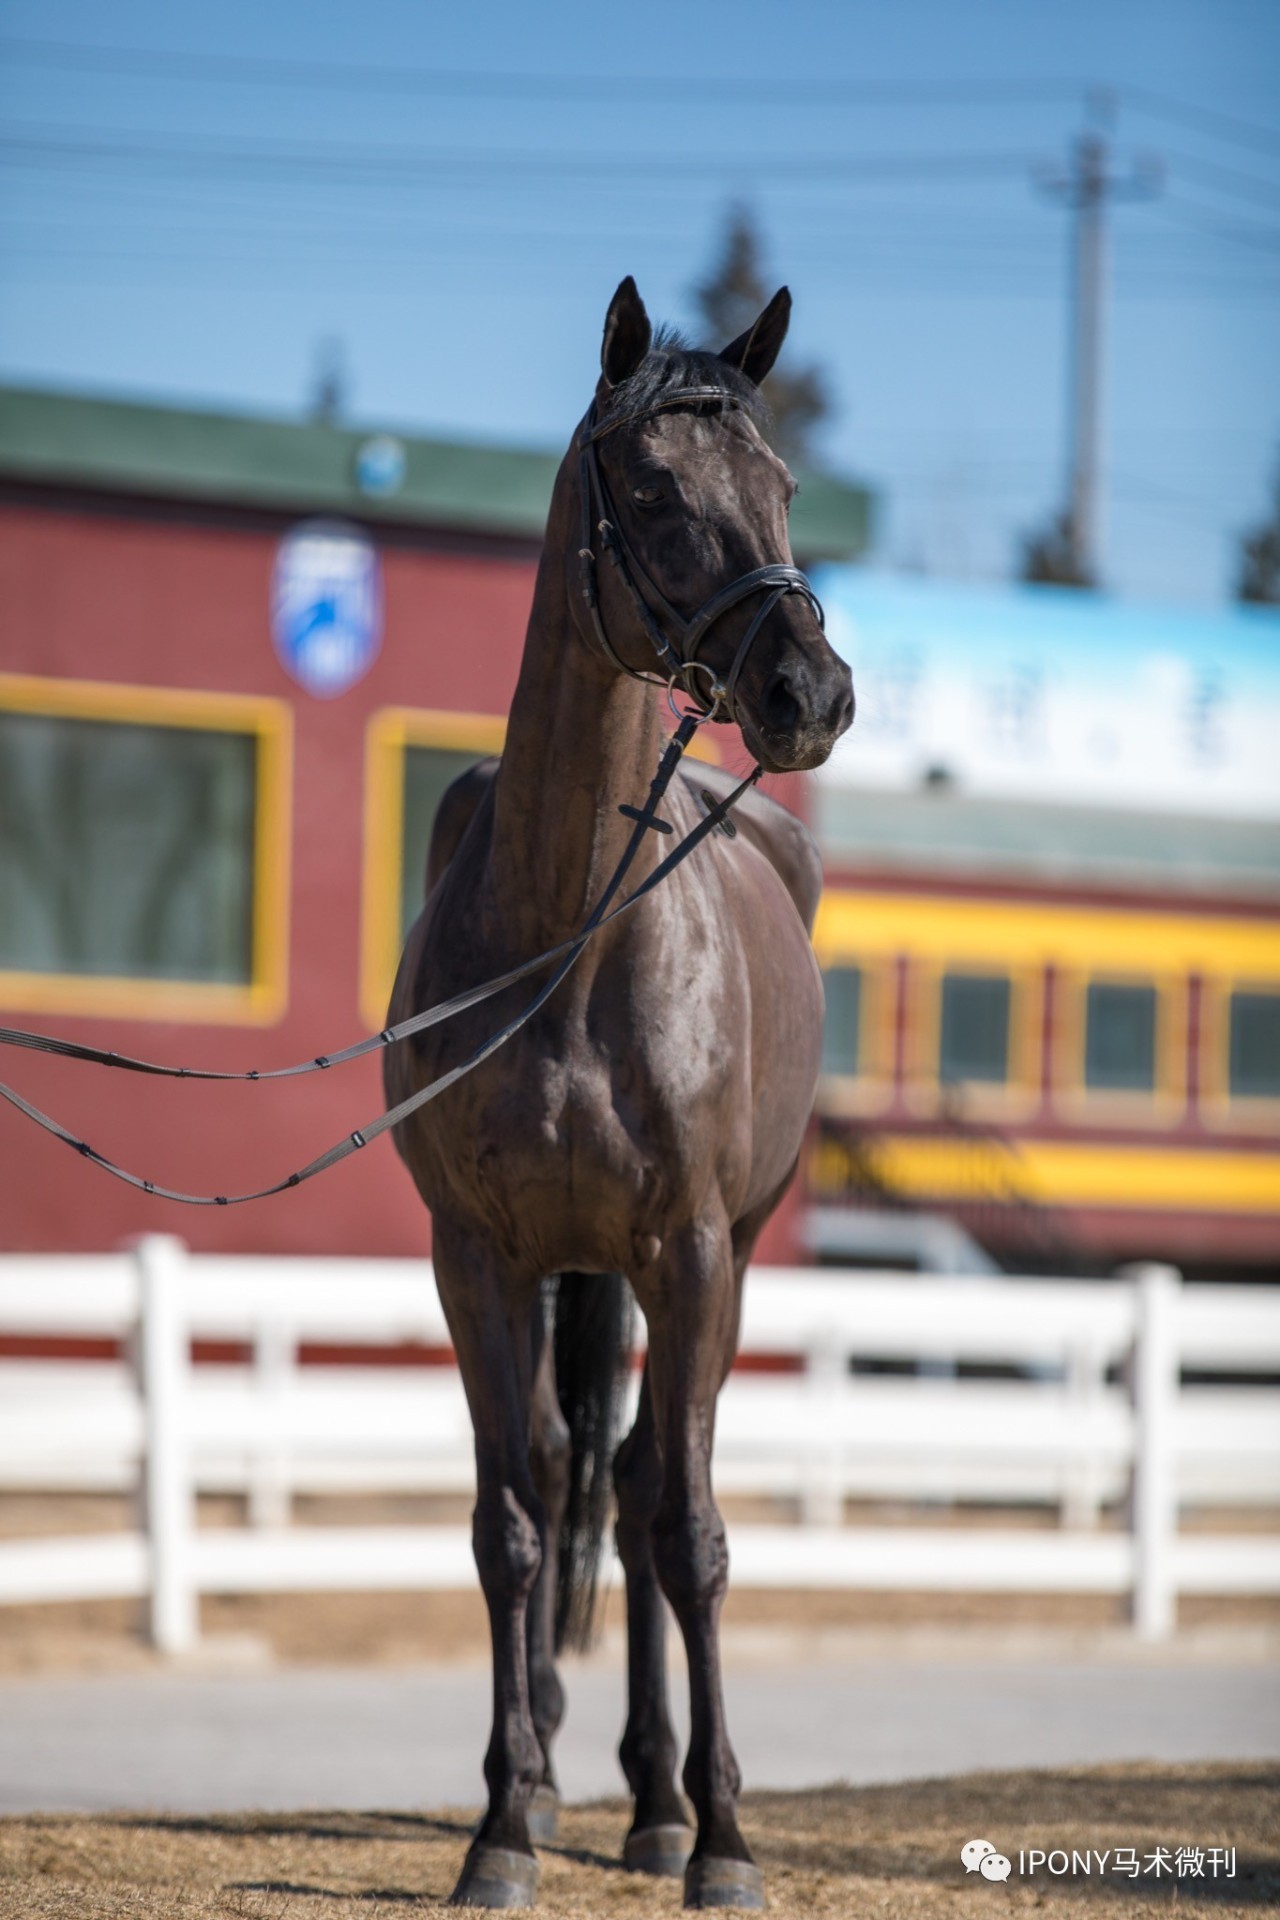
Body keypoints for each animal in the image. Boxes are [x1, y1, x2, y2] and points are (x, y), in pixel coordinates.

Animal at [385, 278, 855, 1912]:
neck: (570, 932)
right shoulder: (476, 1255)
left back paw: (661, 1803)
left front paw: (723, 1839)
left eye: (783, 487)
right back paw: (564, 1778)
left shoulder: (697, 1251)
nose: (810, 693)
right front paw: (500, 1825)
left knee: (651, 1489)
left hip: (707, 1260)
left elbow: (688, 1528)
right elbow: (513, 1524)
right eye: (651, 492)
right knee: (572, 1474)